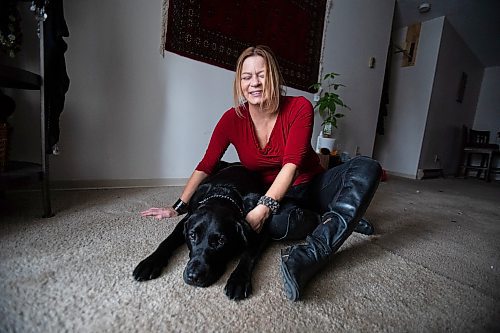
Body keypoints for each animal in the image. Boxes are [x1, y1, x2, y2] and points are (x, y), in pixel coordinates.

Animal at [131, 162, 268, 300]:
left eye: (221, 241)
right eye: (192, 235)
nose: (193, 276)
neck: (223, 195)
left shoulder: (261, 229)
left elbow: (248, 254)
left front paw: (238, 280)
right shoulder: (185, 222)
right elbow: (167, 241)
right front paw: (150, 262)